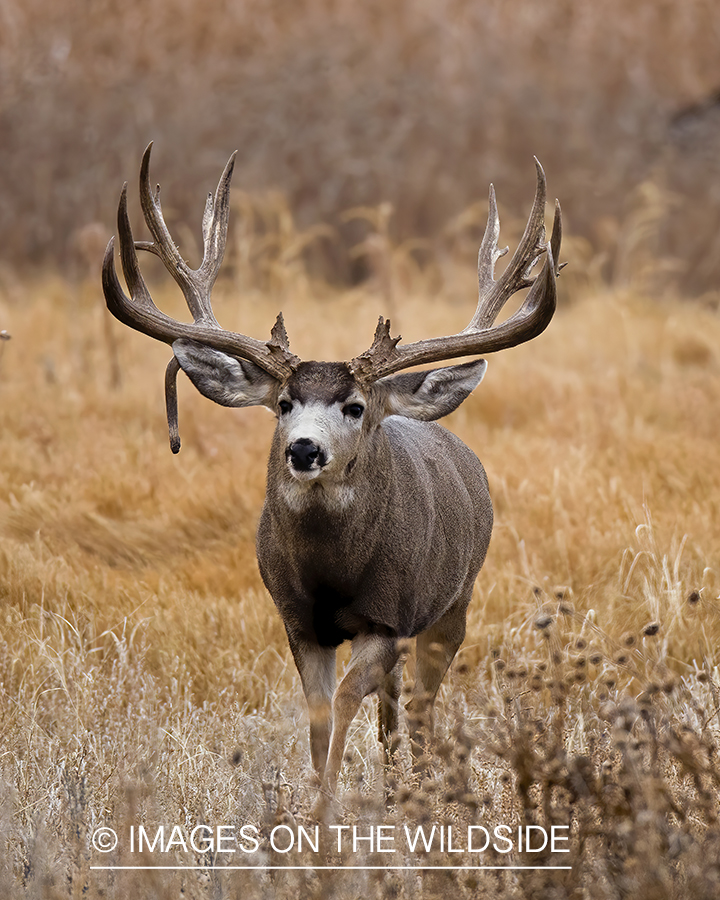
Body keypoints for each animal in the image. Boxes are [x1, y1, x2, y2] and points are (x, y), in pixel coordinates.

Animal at [101, 144, 564, 800]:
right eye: (284, 402)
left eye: (355, 406)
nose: (303, 450)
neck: (332, 572)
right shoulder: (298, 620)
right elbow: (319, 709)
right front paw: (315, 793)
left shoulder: (388, 616)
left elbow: (346, 699)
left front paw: (329, 800)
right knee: (395, 706)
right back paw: (395, 778)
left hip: (455, 601)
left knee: (422, 703)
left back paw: (422, 781)